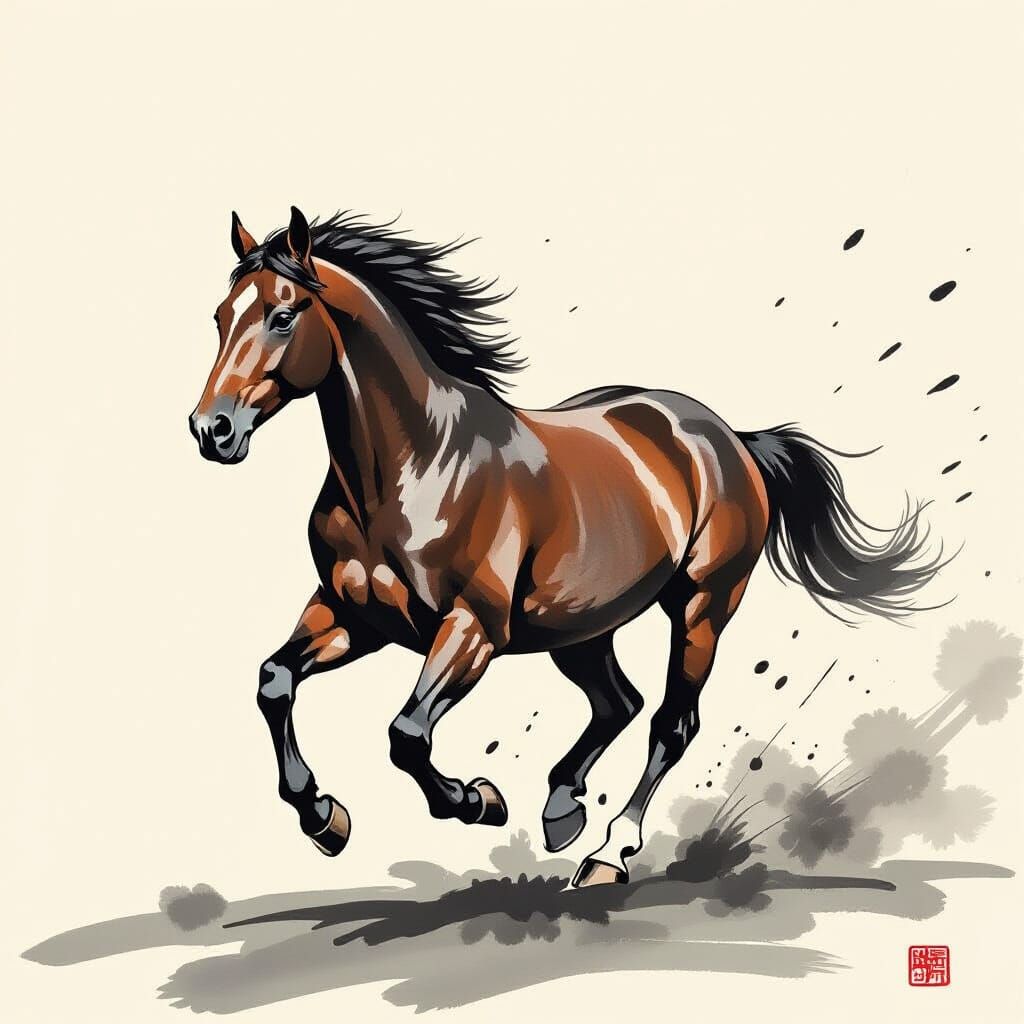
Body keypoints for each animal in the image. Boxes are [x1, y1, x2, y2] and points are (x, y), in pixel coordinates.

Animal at [188, 206, 944, 886]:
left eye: (283, 314)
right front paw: (325, 818)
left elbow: (407, 735)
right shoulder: (356, 617)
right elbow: (274, 681)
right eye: (221, 317)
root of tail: (729, 438)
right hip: (580, 627)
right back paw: (561, 809)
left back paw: (609, 853)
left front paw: (478, 800)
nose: (212, 430)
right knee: (619, 703)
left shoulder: (472, 630)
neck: (413, 470)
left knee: (670, 722)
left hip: (702, 604)